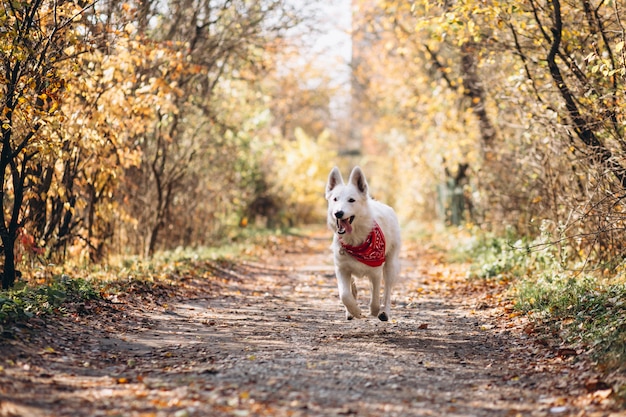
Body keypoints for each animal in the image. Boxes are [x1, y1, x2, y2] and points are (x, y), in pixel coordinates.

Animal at [324, 167, 398, 322]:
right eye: (335, 199)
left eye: (351, 200)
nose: (338, 213)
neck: (355, 240)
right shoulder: (341, 269)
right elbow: (345, 295)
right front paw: (355, 311)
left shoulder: (376, 271)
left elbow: (375, 297)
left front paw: (374, 311)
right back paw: (350, 312)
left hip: (390, 265)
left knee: (387, 291)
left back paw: (384, 312)